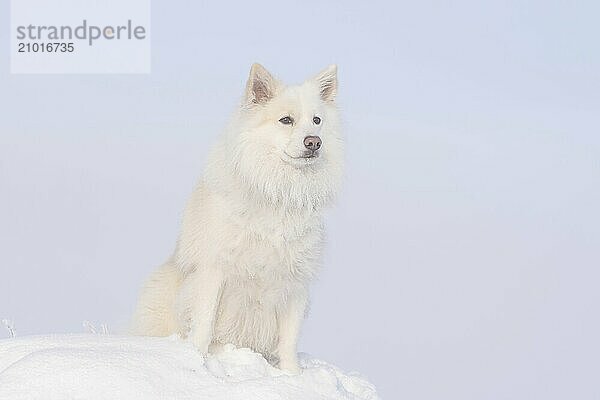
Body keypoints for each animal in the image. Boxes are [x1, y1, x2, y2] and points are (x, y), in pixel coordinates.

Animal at [133, 64, 344, 374]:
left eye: (317, 121)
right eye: (286, 120)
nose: (314, 142)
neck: (277, 193)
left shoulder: (296, 282)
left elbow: (289, 341)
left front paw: (292, 375)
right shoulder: (214, 270)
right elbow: (204, 324)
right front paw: (198, 364)